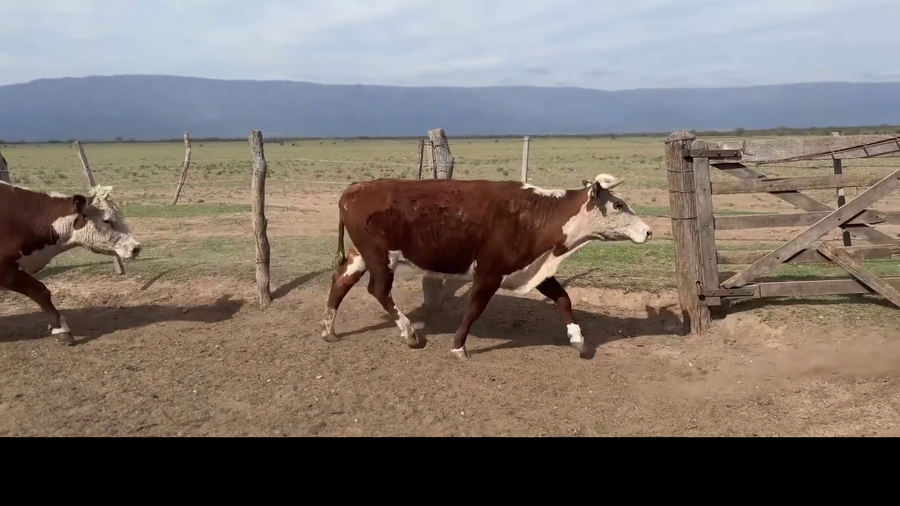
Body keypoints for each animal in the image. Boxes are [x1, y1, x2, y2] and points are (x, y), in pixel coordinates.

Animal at [319, 173, 652, 360]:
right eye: (618, 204)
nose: (648, 231)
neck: (536, 214)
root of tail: (354, 189)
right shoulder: (489, 272)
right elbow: (474, 309)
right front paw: (458, 346)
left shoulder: (532, 267)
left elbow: (563, 299)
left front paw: (578, 340)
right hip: (380, 257)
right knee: (378, 290)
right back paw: (410, 332)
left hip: (361, 255)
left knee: (341, 281)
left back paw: (328, 330)